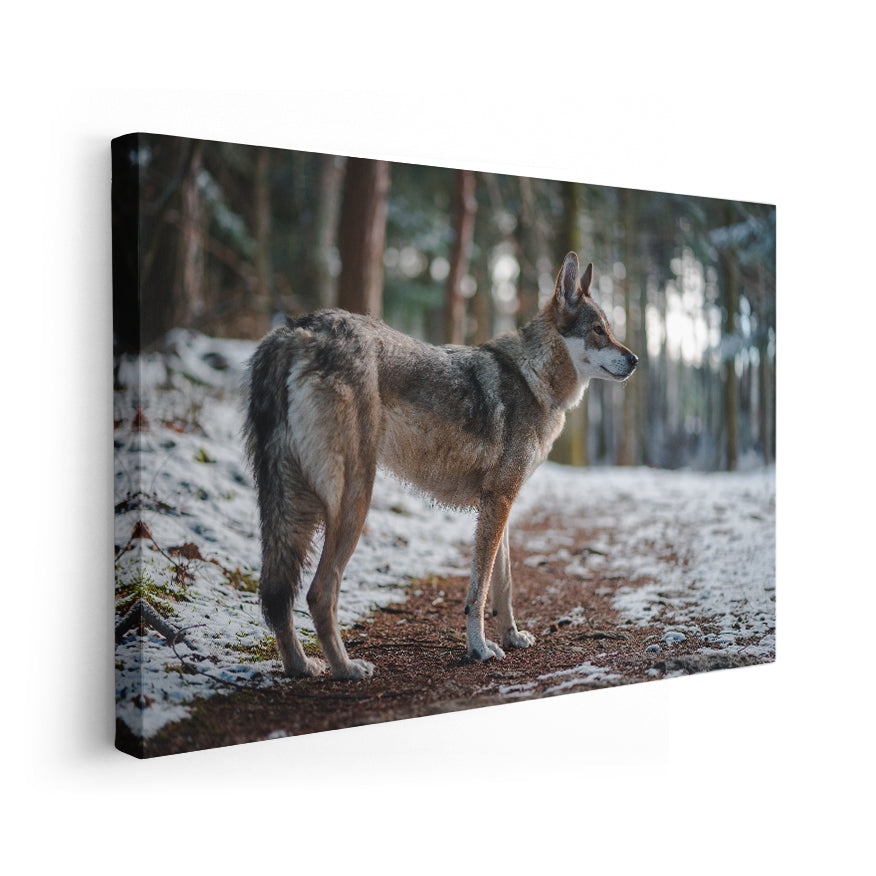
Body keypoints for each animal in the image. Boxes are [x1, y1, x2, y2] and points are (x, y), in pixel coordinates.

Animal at [245, 252, 637, 680]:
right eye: (599, 330)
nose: (635, 359)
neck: (534, 378)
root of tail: (296, 329)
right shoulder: (498, 502)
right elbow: (479, 590)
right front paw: (480, 649)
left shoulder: (500, 503)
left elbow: (504, 585)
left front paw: (512, 637)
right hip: (353, 500)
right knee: (319, 592)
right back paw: (346, 668)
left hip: (290, 504)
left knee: (277, 595)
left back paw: (301, 665)